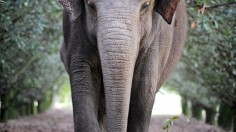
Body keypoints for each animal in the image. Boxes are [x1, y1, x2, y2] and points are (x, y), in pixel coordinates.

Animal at [59, 0, 188, 131]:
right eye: (90, 5)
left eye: (146, 5)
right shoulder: (75, 32)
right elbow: (84, 80)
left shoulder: (158, 38)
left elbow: (143, 89)